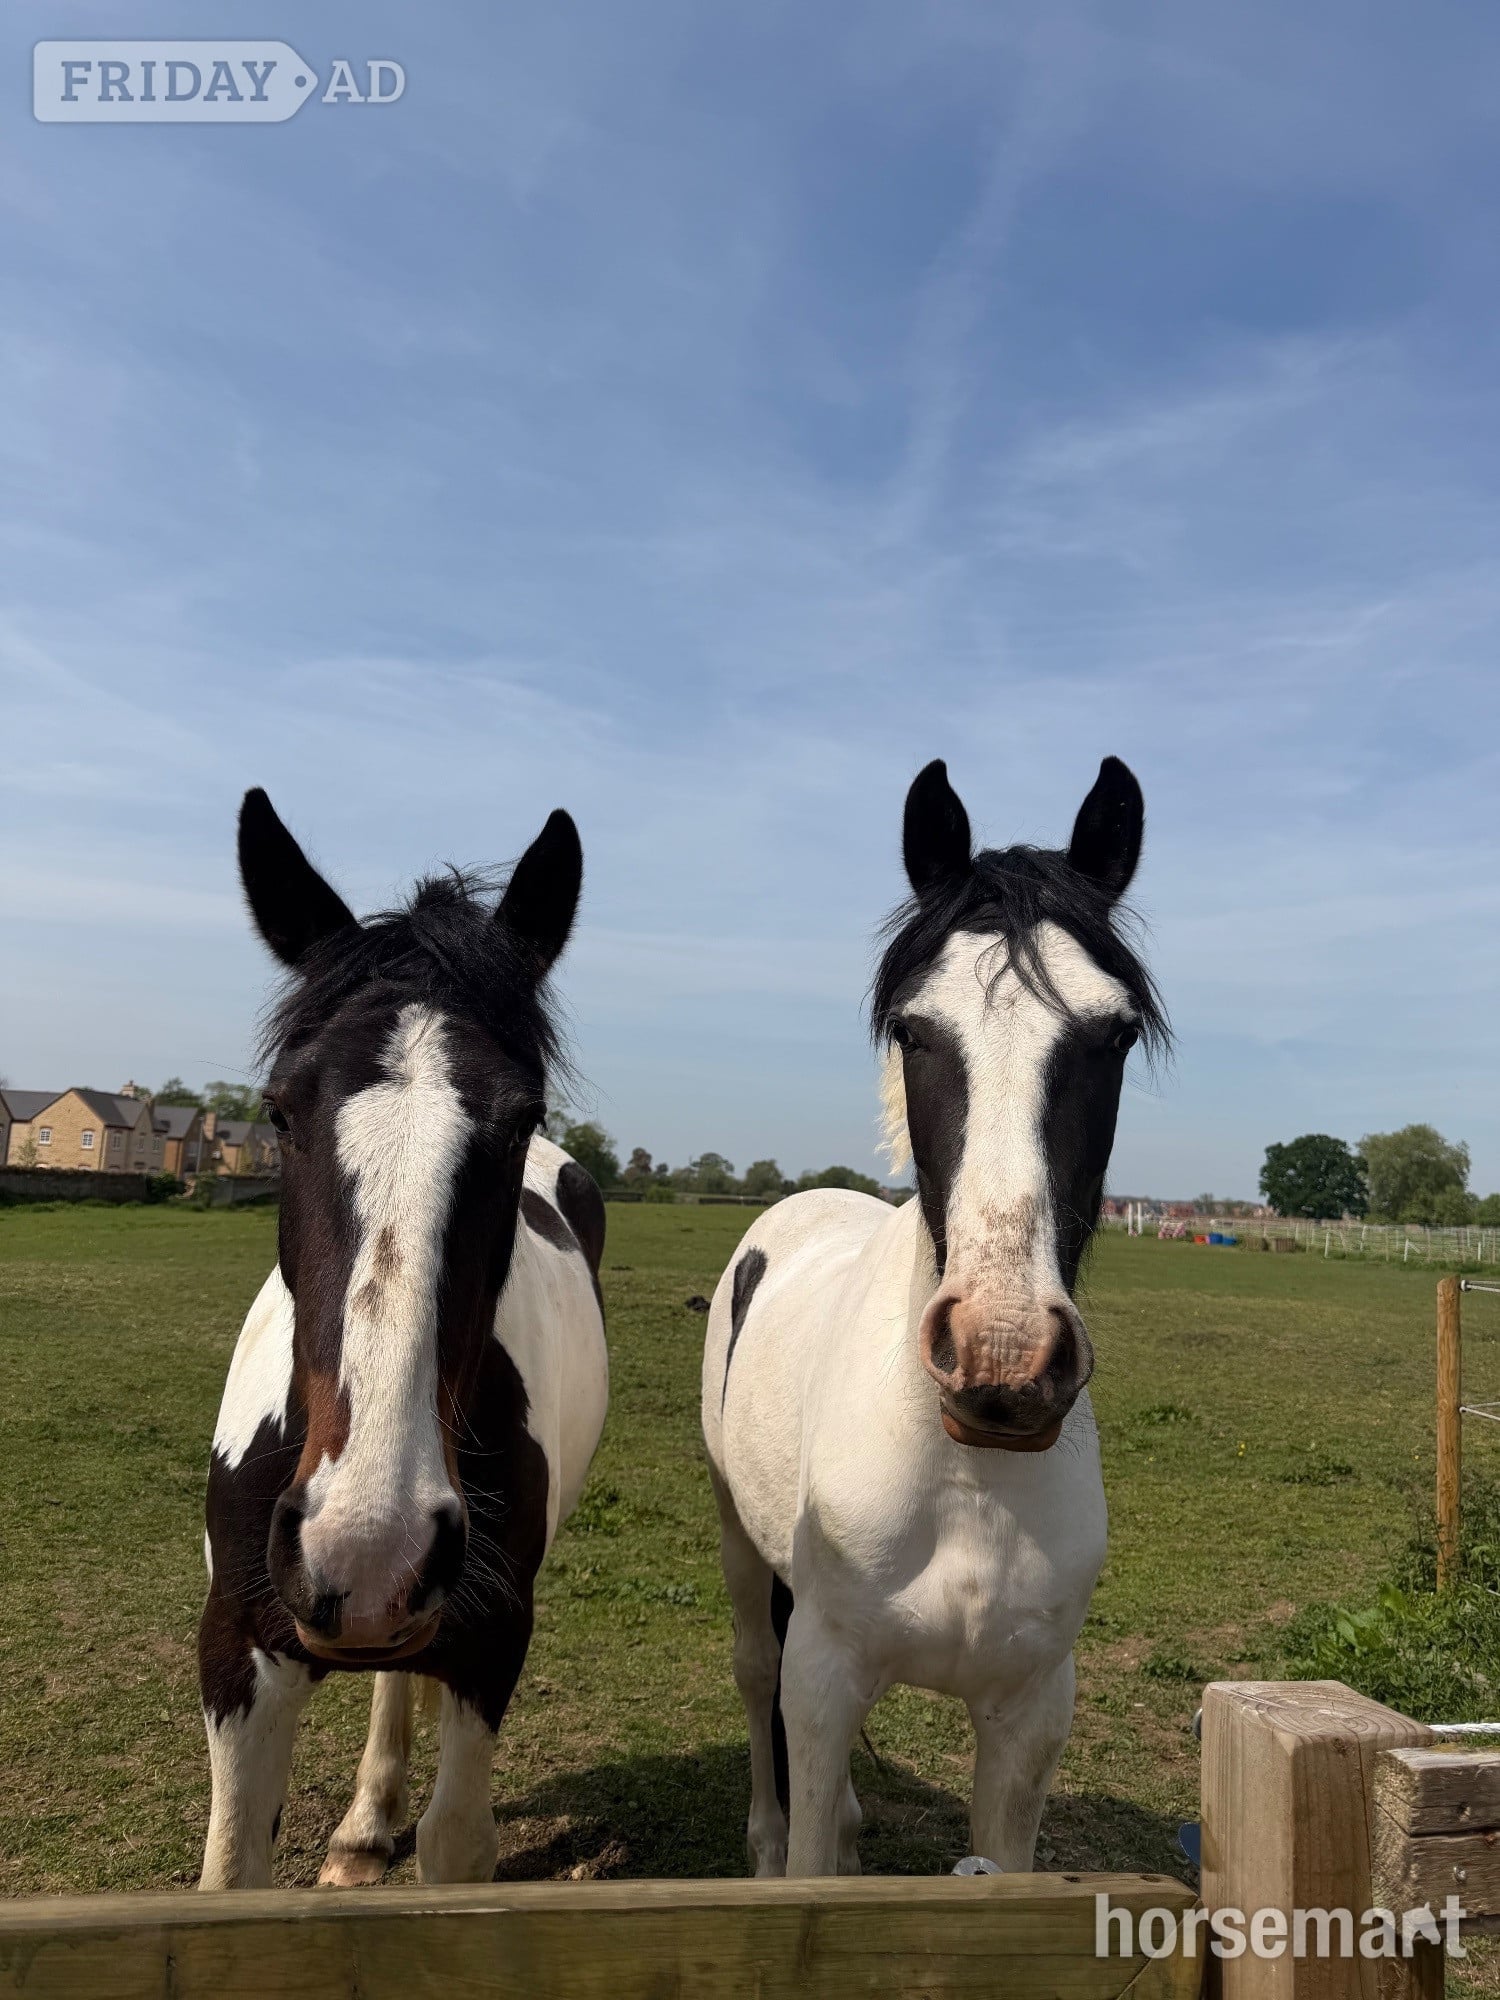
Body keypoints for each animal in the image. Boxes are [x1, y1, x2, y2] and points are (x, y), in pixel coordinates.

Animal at [198, 790, 609, 1890]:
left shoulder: (489, 1644)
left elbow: (456, 1845)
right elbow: (230, 1869)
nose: (367, 1546)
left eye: (520, 1116)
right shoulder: (234, 1654)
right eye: (279, 1108)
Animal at [701, 755, 1167, 1878]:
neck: (968, 1480)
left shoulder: (1028, 1717)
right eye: (915, 1031)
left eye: (1114, 1034)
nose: (1004, 1358)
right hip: (739, 1539)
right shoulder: (822, 1684)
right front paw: (799, 1843)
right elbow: (807, 1848)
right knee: (753, 1671)